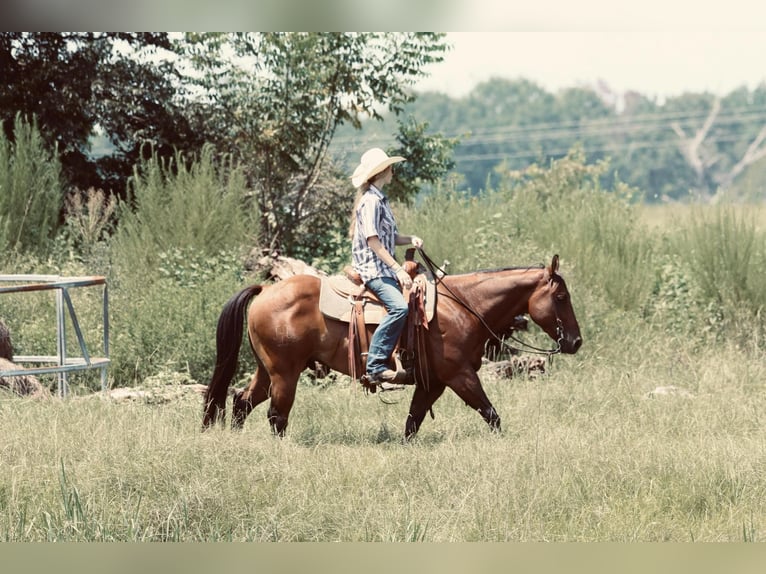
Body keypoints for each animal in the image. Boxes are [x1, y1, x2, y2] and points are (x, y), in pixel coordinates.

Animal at [204, 254, 584, 438]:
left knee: (241, 401)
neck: (463, 306)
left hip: (267, 370)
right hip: (285, 373)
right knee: (276, 415)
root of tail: (266, 291)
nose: (575, 341)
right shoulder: (459, 375)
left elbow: (412, 422)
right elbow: (491, 414)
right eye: (561, 297)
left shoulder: (433, 383)